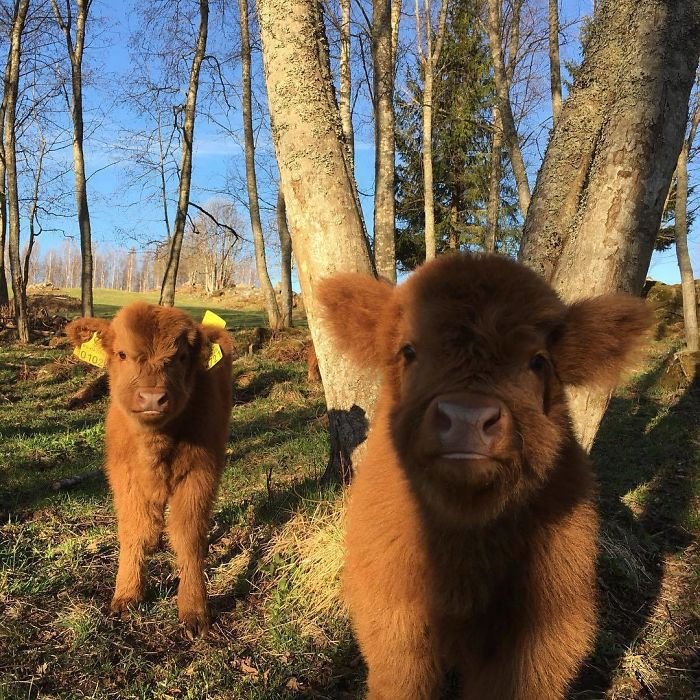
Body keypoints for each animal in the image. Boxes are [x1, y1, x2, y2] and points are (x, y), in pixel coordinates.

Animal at [65, 304, 232, 636]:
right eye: (122, 354)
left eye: (181, 357)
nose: (152, 397)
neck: (155, 445)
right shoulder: (124, 477)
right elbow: (134, 531)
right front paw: (127, 594)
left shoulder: (200, 475)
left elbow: (189, 536)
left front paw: (194, 610)